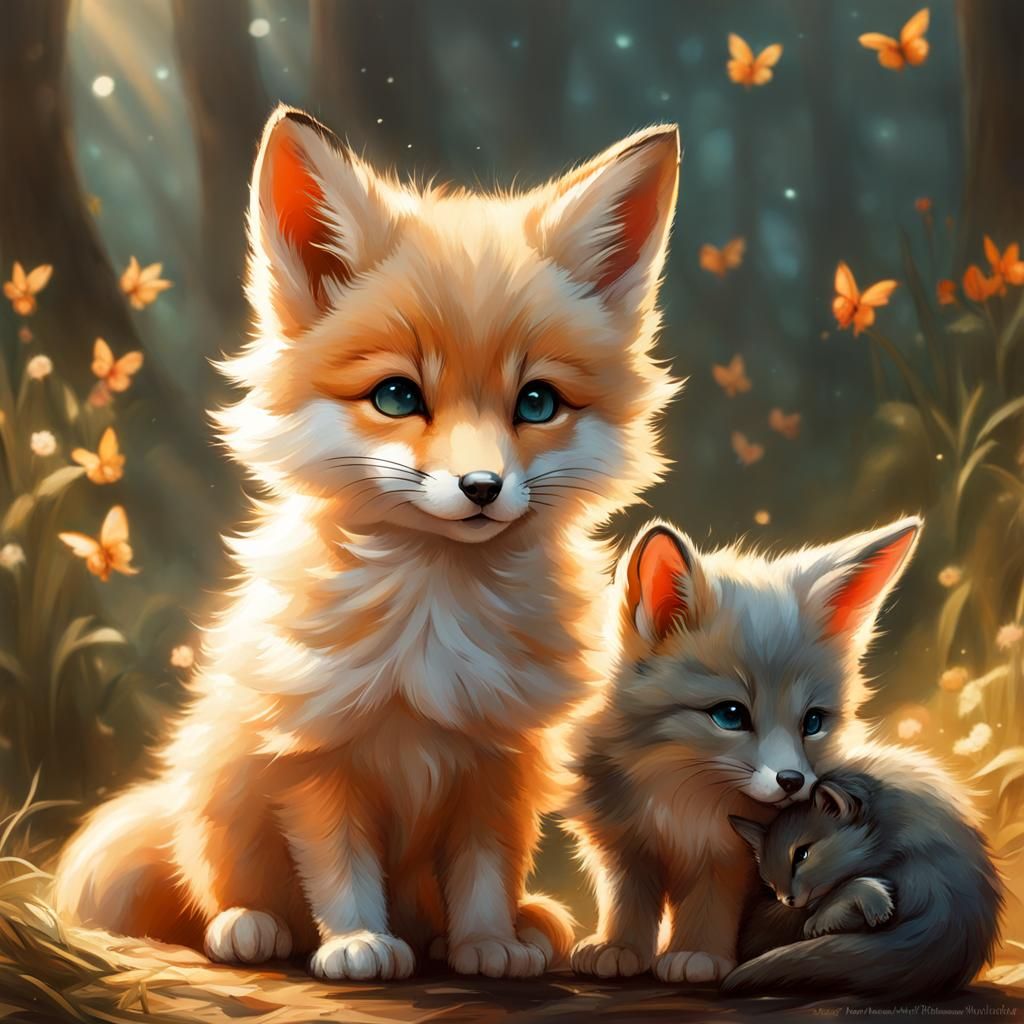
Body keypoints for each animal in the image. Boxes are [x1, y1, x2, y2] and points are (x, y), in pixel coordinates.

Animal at [52, 106, 683, 981]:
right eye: (396, 396)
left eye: (536, 402)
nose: (482, 487)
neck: (433, 619)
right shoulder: (316, 757)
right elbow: (340, 868)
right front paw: (353, 942)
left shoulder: (498, 757)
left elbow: (485, 870)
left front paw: (486, 943)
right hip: (220, 786)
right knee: (220, 882)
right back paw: (249, 926)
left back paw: (504, 931)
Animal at [563, 514, 921, 985]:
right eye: (730, 715)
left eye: (812, 723)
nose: (793, 782)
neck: (677, 797)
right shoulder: (624, 842)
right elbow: (628, 899)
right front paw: (617, 947)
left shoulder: (727, 857)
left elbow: (711, 904)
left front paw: (696, 954)